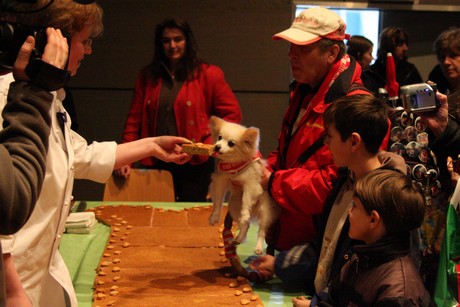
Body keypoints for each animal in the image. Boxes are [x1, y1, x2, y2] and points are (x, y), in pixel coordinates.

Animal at [208, 115, 278, 255]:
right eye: (219, 137)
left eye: (231, 143)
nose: (217, 146)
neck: (233, 164)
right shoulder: (220, 181)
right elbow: (218, 201)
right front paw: (214, 216)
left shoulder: (250, 185)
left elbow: (246, 200)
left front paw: (245, 213)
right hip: (234, 206)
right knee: (245, 225)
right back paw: (239, 238)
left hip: (265, 211)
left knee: (261, 231)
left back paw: (258, 247)